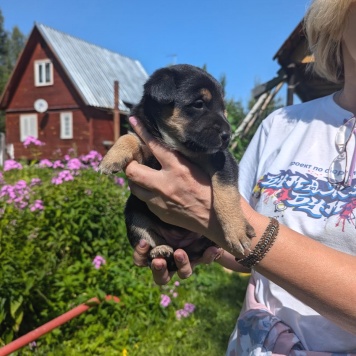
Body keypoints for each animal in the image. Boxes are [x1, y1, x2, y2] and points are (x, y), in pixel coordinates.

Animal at [100, 64, 254, 270]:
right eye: (199, 104)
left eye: (223, 109)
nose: (227, 136)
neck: (174, 143)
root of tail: (182, 247)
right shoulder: (145, 151)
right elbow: (128, 137)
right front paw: (110, 159)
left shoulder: (222, 159)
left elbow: (226, 193)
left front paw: (236, 230)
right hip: (133, 212)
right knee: (149, 242)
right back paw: (160, 250)